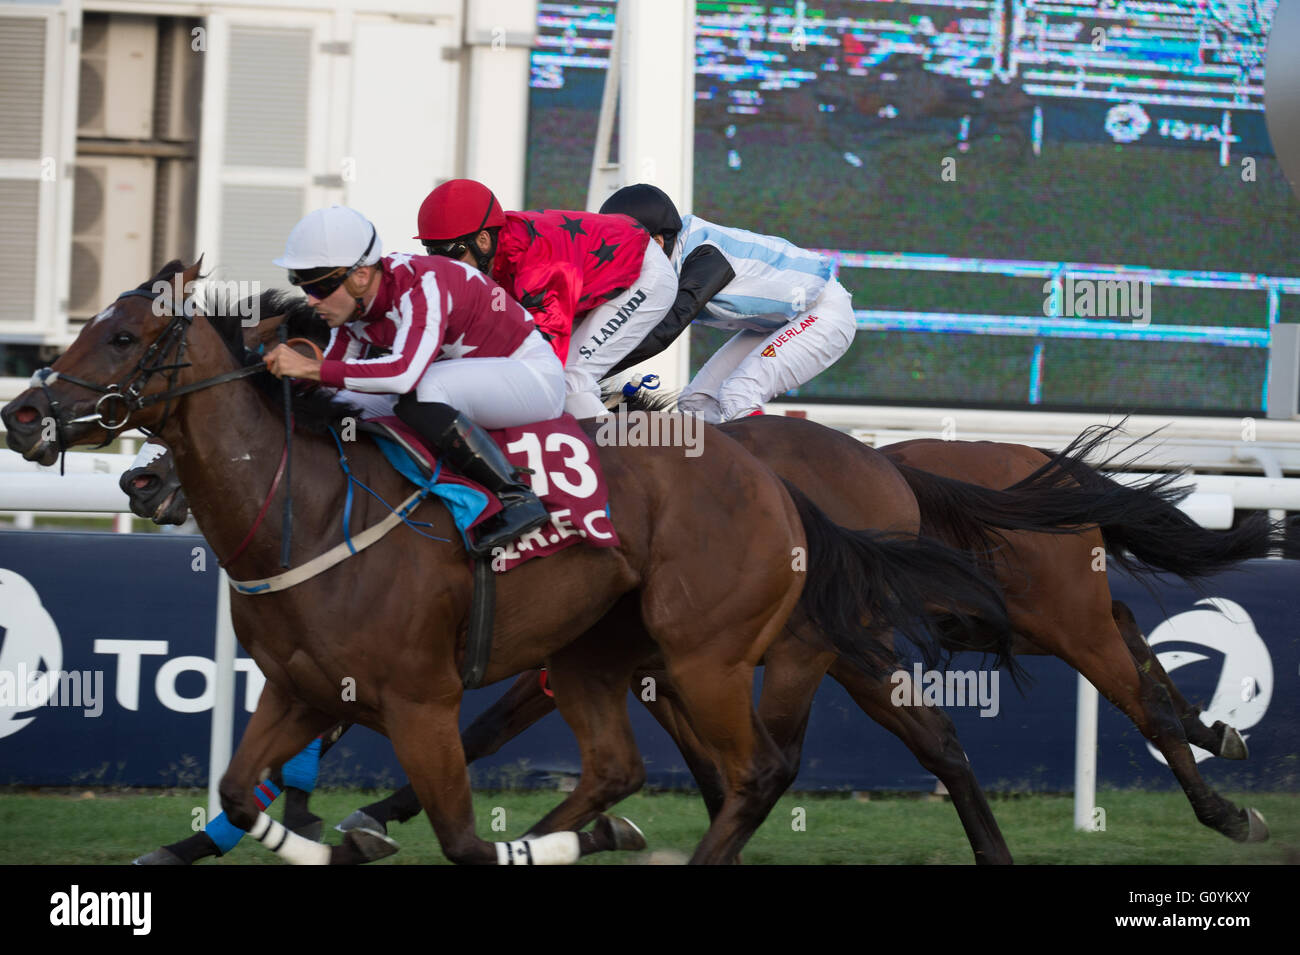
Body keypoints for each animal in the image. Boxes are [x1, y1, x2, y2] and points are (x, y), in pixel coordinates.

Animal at [0, 261, 1019, 867]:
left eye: (123, 337)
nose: (23, 413)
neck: (314, 511)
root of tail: (786, 482)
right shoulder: (301, 689)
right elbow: (239, 787)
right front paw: (295, 838)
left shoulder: (421, 700)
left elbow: (458, 827)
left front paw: (362, 827)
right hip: (607, 652)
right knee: (637, 768)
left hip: (727, 652)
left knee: (766, 768)